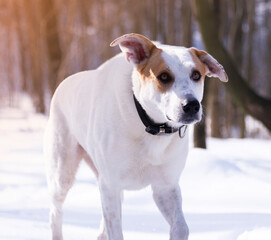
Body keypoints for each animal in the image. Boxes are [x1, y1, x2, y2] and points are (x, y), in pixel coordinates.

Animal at [44, 32, 227, 240]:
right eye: (164, 76)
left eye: (196, 75)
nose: (192, 105)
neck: (152, 128)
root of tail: (64, 83)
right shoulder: (111, 183)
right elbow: (115, 230)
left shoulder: (165, 186)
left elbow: (181, 227)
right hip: (62, 171)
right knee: (56, 211)